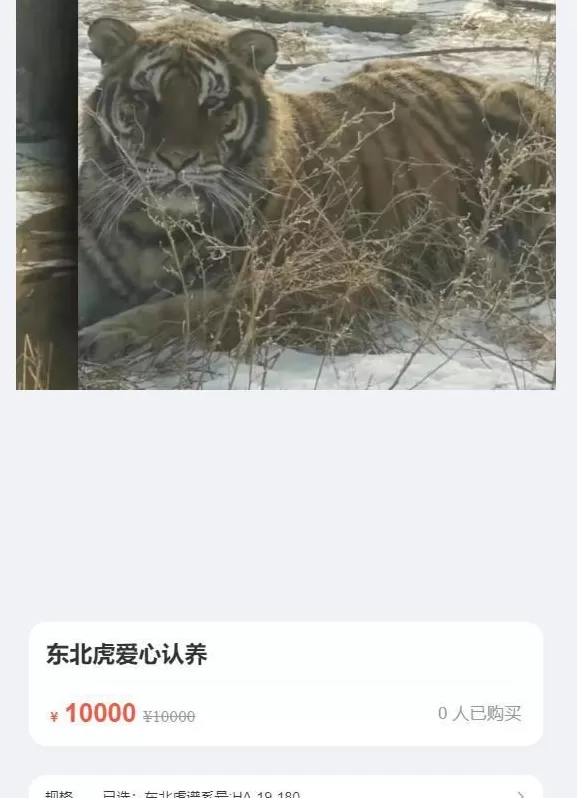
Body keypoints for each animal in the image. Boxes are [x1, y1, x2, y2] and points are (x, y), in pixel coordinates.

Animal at [78, 14, 555, 363]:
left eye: (214, 103)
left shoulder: (328, 280)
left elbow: (199, 307)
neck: (156, 229)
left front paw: (108, 333)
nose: (177, 161)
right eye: (144, 100)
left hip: (509, 105)